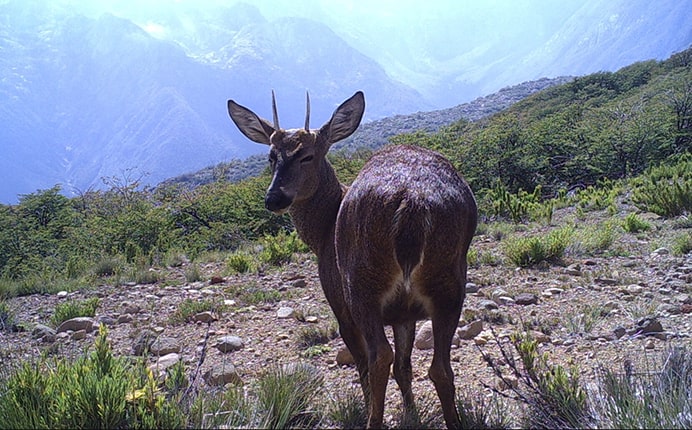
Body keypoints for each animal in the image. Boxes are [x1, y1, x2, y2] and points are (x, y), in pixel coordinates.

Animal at [227, 90, 476, 426]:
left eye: (308, 155)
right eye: (271, 156)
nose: (274, 198)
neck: (322, 232)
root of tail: (412, 201)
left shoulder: (339, 304)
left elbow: (365, 366)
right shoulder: (405, 314)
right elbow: (404, 367)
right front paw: (411, 414)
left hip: (361, 284)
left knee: (378, 358)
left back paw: (372, 421)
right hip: (449, 281)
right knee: (439, 368)